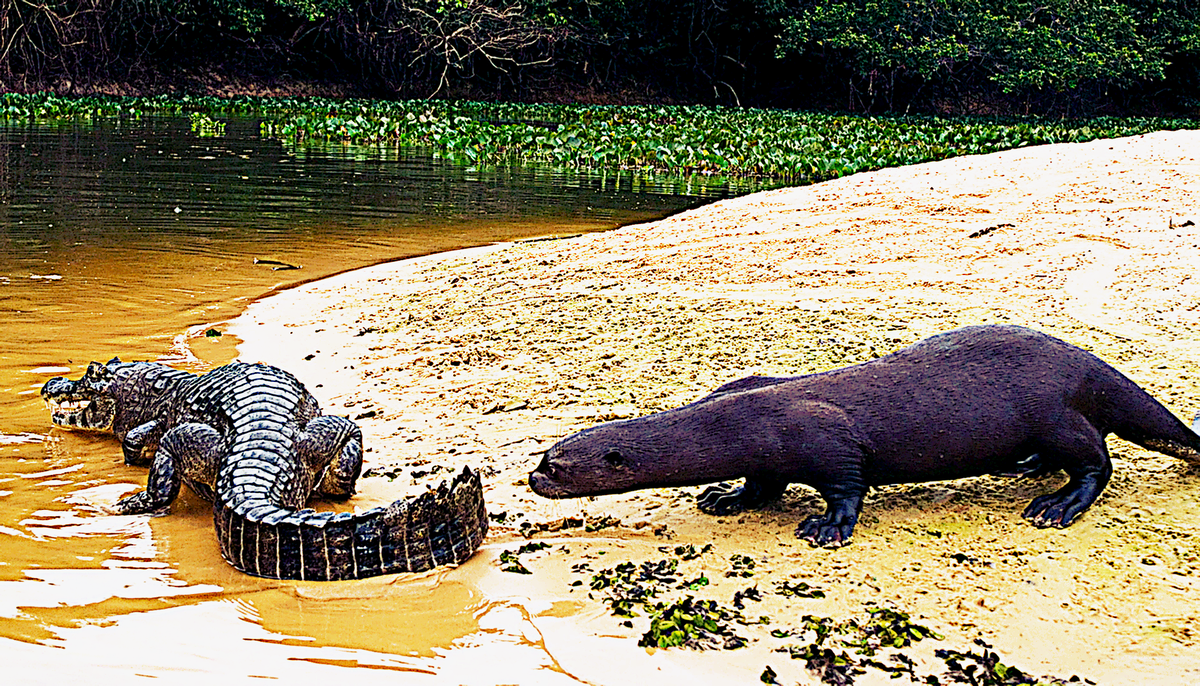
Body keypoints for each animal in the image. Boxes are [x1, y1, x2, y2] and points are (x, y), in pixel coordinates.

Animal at [532, 326, 1200, 546]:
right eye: (545, 454)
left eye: (558, 466)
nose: (532, 477)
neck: (736, 421)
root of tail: (1088, 362)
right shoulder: (767, 455)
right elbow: (761, 485)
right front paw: (725, 498)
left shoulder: (824, 441)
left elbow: (846, 487)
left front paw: (826, 527)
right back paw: (1026, 470)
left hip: (1055, 413)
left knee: (1098, 460)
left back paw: (1057, 505)